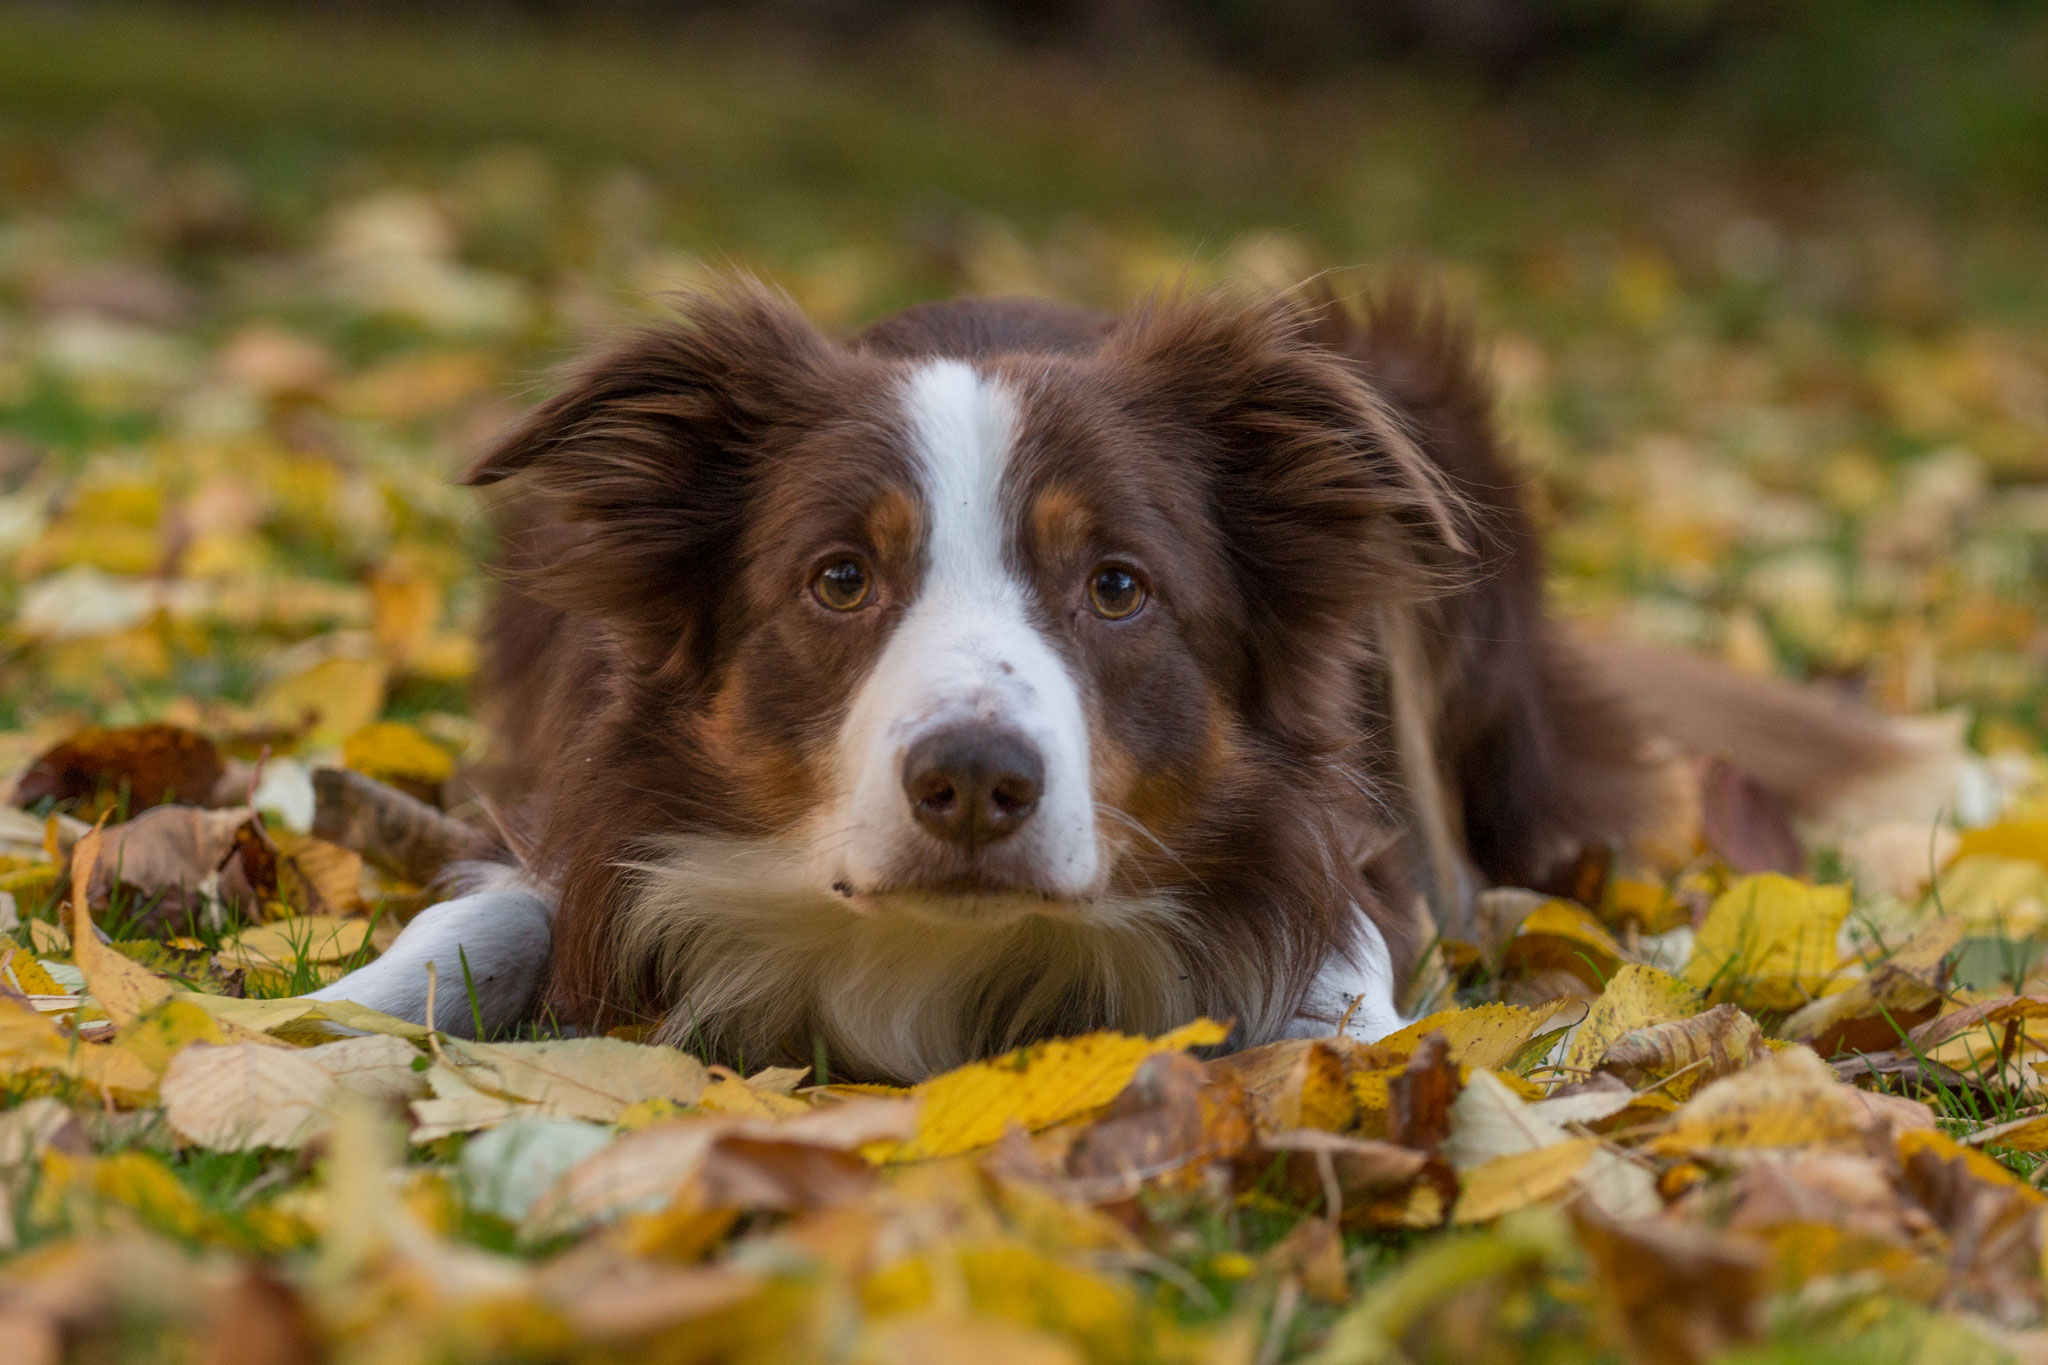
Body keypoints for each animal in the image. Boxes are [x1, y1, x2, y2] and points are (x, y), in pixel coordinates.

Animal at [311, 280, 1908, 1080]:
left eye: (1119, 586)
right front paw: (327, 1030)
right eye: (839, 578)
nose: (972, 784)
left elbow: (1343, 971)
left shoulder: (1337, 853)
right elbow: (494, 908)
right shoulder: (587, 810)